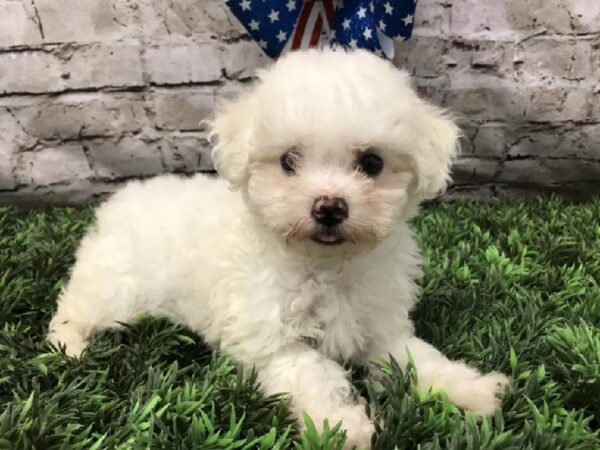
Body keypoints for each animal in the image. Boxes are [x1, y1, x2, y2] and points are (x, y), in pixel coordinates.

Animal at [50, 49, 506, 450]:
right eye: (288, 160)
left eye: (372, 163)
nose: (329, 207)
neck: (326, 265)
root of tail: (117, 204)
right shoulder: (270, 341)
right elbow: (314, 373)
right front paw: (342, 426)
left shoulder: (379, 325)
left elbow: (414, 358)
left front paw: (469, 389)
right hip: (119, 289)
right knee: (73, 307)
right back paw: (68, 348)